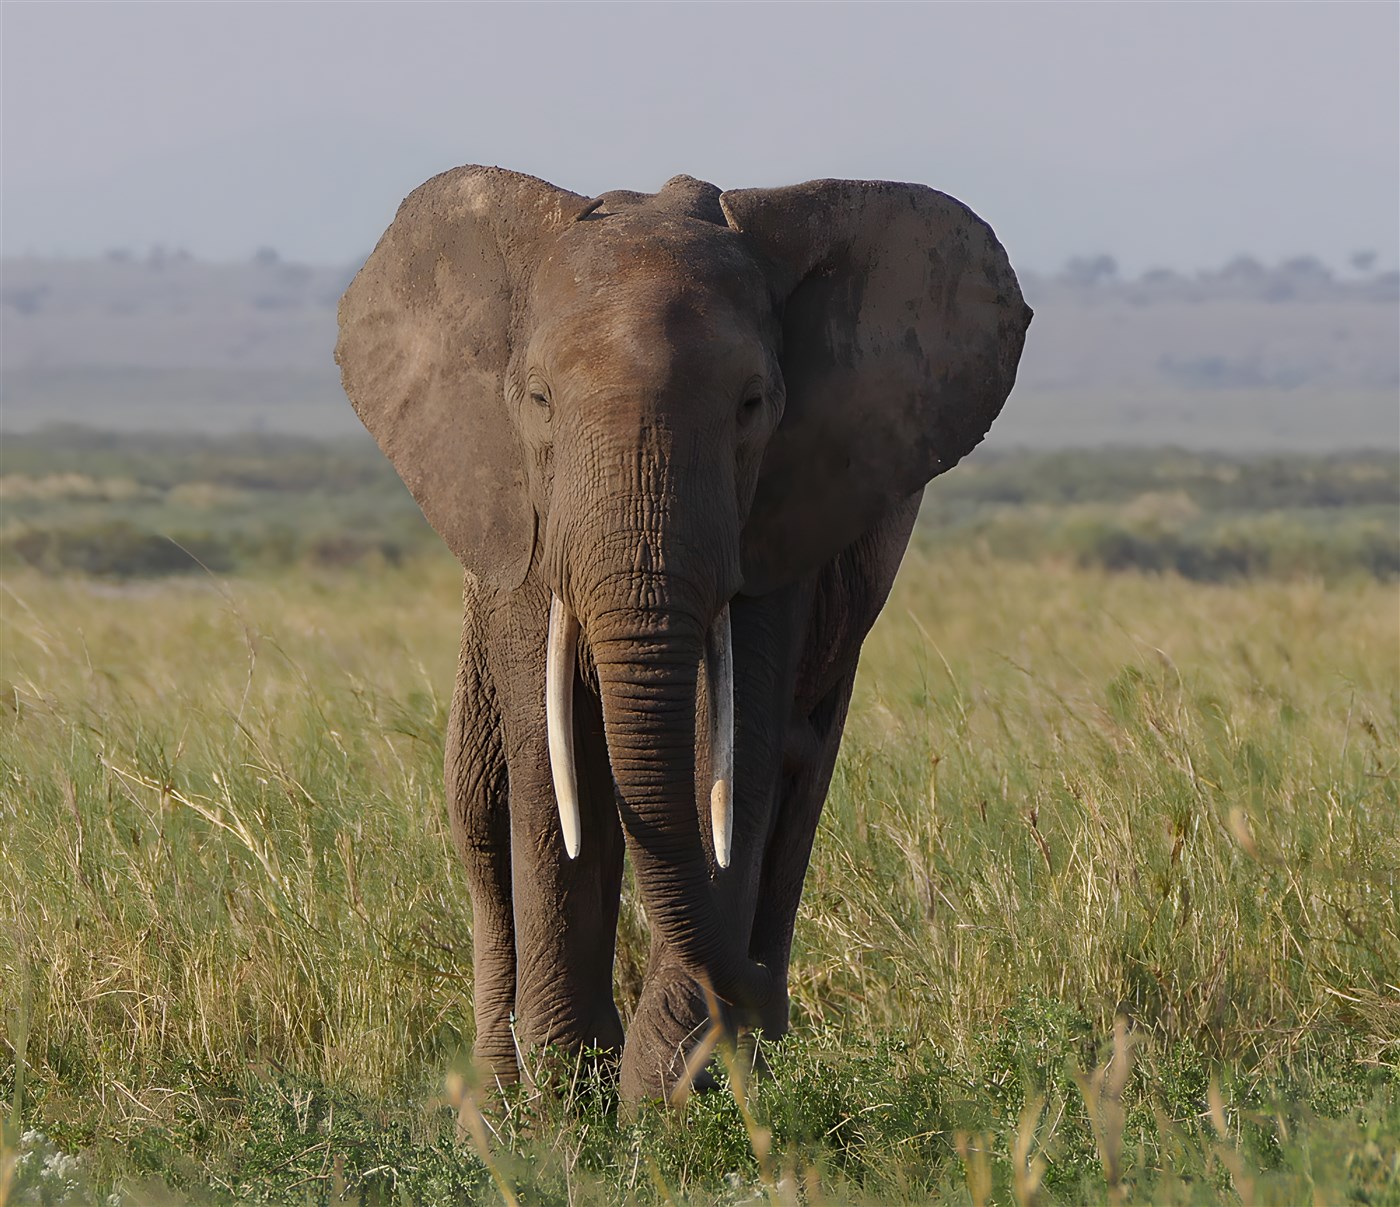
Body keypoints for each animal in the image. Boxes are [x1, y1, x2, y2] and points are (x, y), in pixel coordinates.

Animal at [336, 167, 1030, 1102]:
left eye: (751, 405)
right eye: (538, 400)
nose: (751, 993)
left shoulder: (784, 515)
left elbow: (728, 752)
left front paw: (671, 1089)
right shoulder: (523, 525)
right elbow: (551, 765)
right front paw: (565, 1098)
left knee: (797, 781)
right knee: (479, 800)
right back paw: (502, 1090)